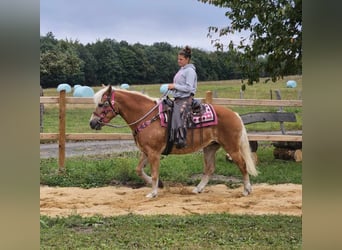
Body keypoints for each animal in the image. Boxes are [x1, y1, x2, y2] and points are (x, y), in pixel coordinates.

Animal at [89, 85, 258, 198]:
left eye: (102, 104)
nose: (92, 123)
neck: (146, 116)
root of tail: (235, 114)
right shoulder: (146, 151)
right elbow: (139, 170)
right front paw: (160, 185)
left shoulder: (154, 153)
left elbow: (155, 173)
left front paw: (153, 192)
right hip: (210, 147)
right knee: (209, 169)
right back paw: (198, 189)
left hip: (232, 147)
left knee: (242, 165)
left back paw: (246, 190)